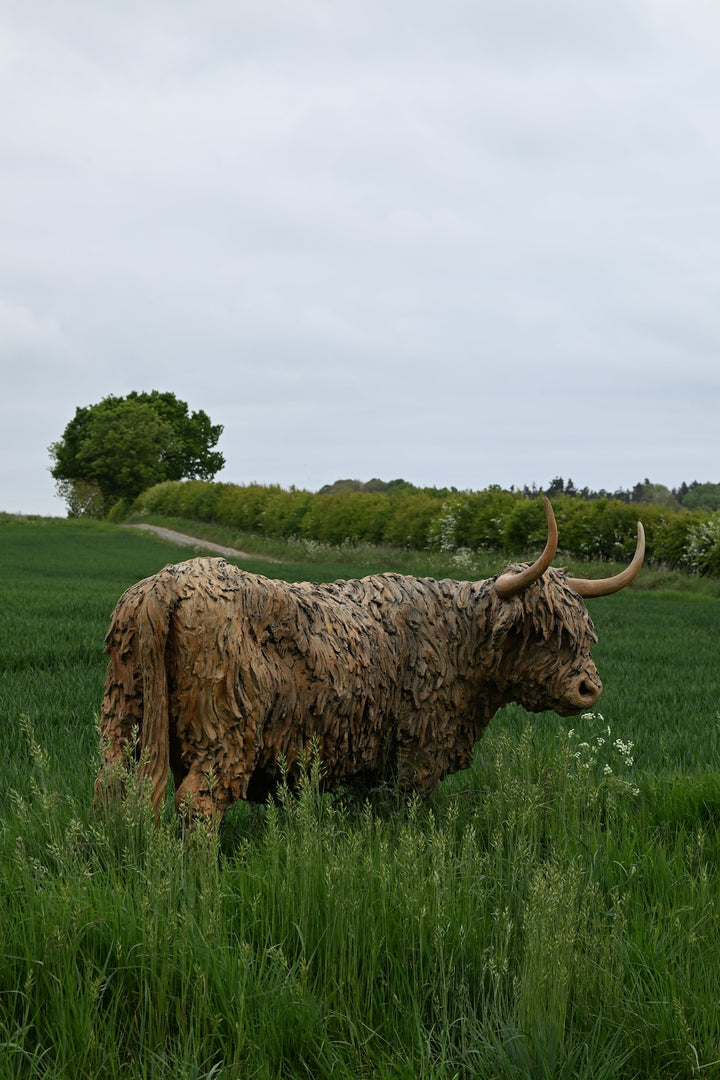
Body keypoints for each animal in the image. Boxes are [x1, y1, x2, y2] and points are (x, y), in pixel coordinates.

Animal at [95, 498, 644, 822]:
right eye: (542, 631)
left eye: (583, 632)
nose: (589, 689)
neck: (458, 640)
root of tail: (166, 585)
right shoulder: (418, 752)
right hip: (225, 730)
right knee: (199, 803)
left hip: (124, 709)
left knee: (111, 782)